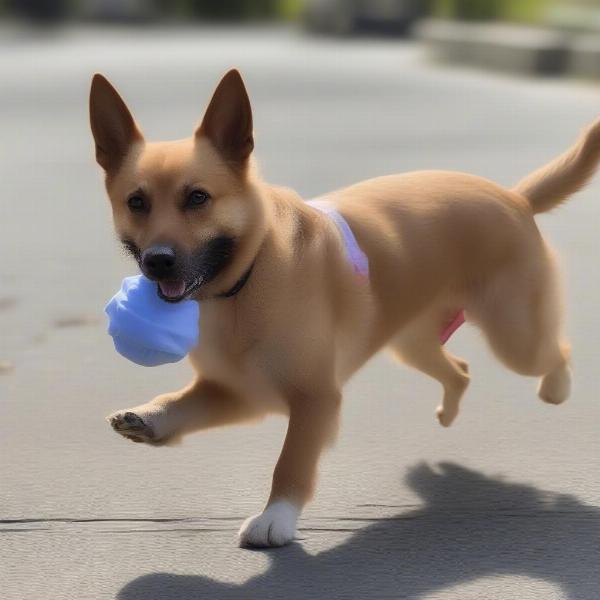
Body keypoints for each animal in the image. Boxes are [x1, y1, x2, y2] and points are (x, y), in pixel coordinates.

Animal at [89, 68, 596, 548]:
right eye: (137, 202)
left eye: (198, 198)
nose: (157, 262)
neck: (248, 277)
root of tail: (515, 197)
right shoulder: (237, 393)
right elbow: (179, 402)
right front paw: (152, 419)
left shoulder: (315, 400)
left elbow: (290, 462)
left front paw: (276, 518)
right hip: (412, 345)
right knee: (461, 370)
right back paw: (451, 411)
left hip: (516, 340)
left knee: (557, 353)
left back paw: (558, 388)